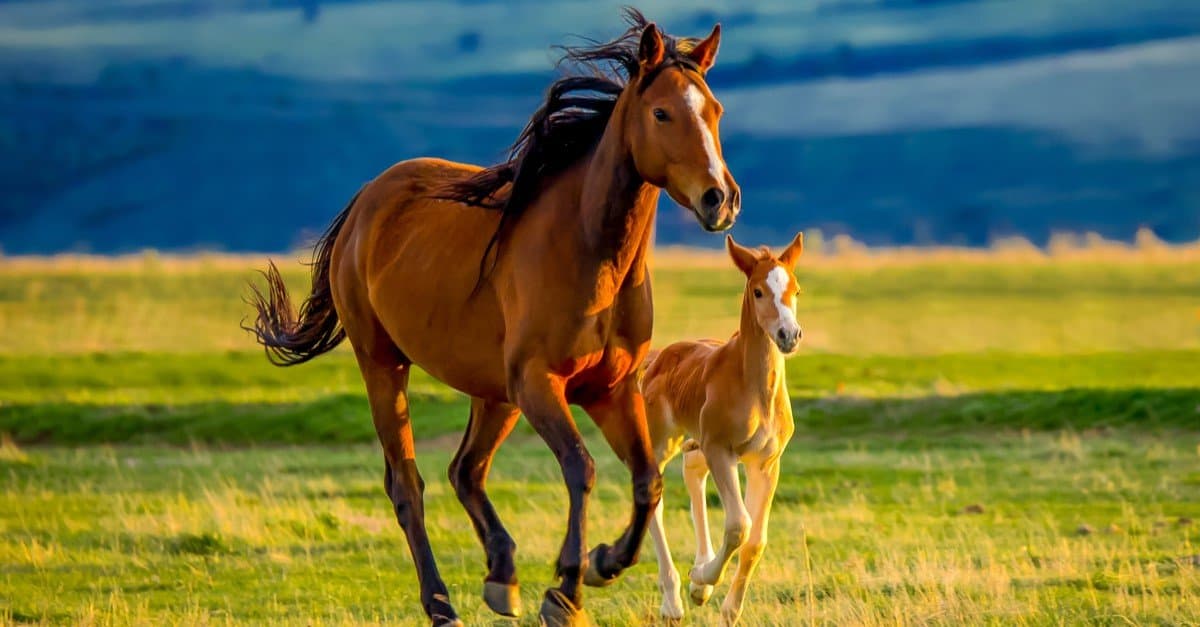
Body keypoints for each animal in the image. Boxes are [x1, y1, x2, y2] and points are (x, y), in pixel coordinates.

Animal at [248, 9, 739, 624]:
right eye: (661, 112)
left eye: (715, 110)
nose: (720, 199)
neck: (588, 251)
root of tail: (366, 201)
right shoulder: (539, 383)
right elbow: (581, 468)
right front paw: (566, 590)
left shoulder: (611, 389)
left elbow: (647, 481)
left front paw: (602, 563)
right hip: (385, 365)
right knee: (407, 484)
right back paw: (441, 603)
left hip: (493, 394)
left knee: (466, 470)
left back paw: (502, 575)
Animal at [643, 231, 801, 619]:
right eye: (758, 291)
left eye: (796, 289)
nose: (789, 335)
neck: (755, 388)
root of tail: (658, 358)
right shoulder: (721, 450)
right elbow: (739, 525)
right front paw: (701, 577)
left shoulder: (766, 462)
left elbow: (756, 540)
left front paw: (725, 606)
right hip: (663, 441)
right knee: (654, 496)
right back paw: (673, 600)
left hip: (696, 442)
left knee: (692, 473)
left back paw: (697, 583)